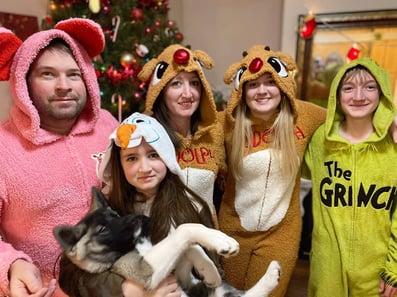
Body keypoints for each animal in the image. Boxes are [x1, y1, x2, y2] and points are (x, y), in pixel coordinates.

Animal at [54, 187, 280, 296]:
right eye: (102, 230)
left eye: (115, 214)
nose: (139, 218)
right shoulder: (147, 273)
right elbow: (184, 229)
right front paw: (221, 241)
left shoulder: (181, 278)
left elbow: (191, 247)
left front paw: (210, 272)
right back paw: (272, 275)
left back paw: (271, 274)